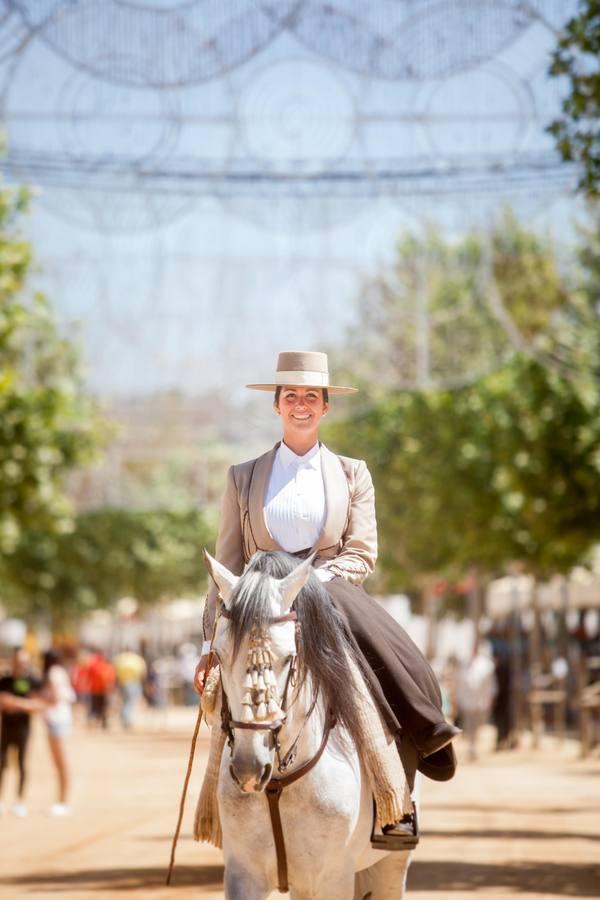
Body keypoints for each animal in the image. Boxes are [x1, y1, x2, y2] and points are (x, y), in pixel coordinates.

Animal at [204, 548, 414, 900]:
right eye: (218, 656)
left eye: (289, 657)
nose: (249, 769)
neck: (279, 784)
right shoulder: (242, 874)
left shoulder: (333, 878)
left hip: (391, 866)